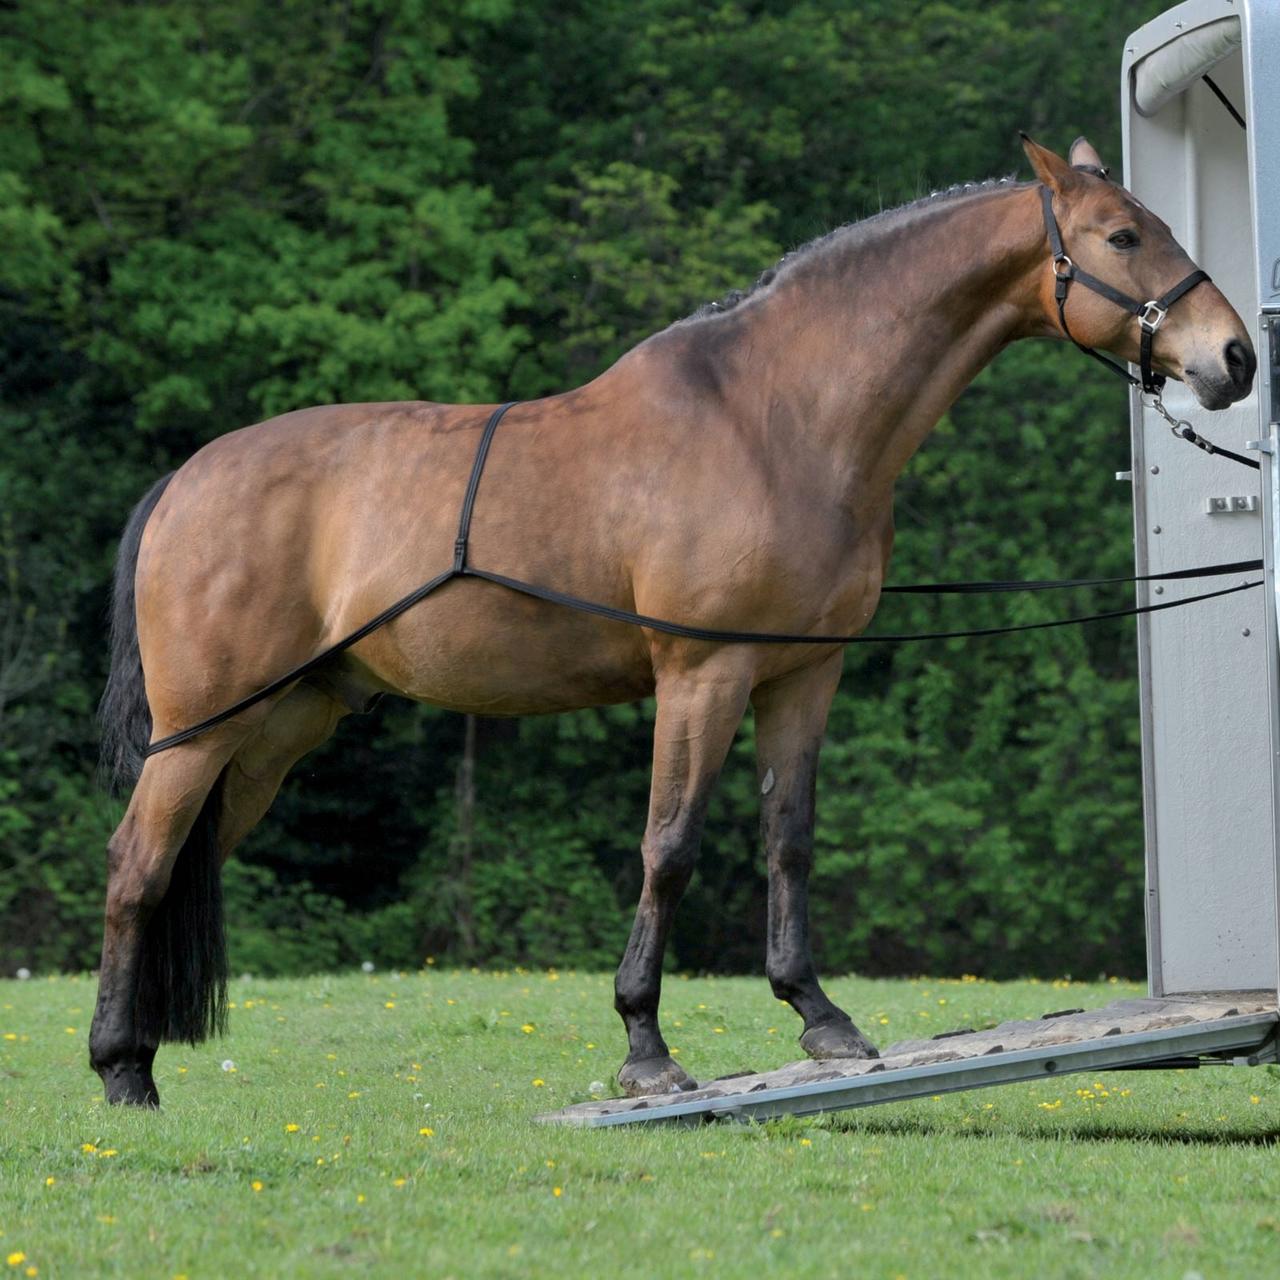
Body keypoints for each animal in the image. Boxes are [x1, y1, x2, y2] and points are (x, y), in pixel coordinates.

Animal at [92, 135, 1259, 1105]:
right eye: (1122, 235)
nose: (1234, 357)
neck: (774, 419)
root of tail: (186, 480)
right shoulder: (704, 673)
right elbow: (670, 847)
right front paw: (644, 1046)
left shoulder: (802, 673)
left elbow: (787, 838)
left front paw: (818, 1016)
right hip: (201, 732)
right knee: (136, 866)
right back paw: (119, 1071)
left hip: (274, 731)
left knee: (178, 863)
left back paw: (138, 1055)